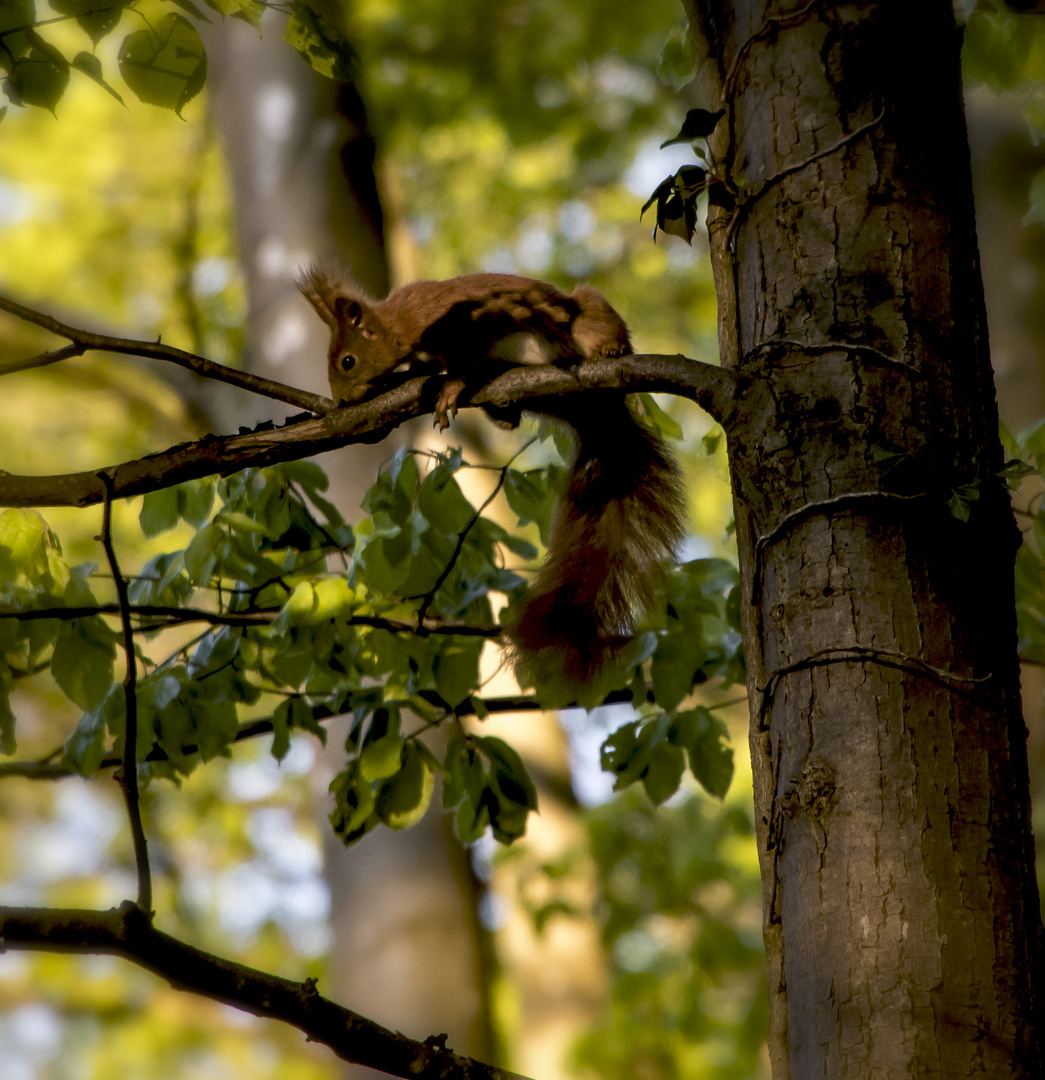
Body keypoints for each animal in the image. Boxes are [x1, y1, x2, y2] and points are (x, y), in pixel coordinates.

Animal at [297, 266, 686, 686]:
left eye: (347, 361)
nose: (340, 401)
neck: (399, 320)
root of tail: (600, 419)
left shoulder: (465, 324)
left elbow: (463, 361)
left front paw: (449, 387)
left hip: (583, 320)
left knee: (593, 324)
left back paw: (611, 350)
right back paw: (502, 413)